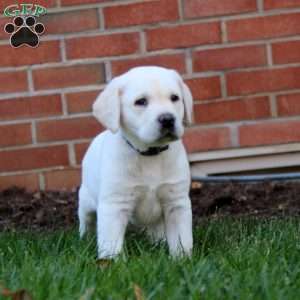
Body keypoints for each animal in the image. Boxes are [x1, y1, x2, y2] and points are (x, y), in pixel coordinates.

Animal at [78, 67, 193, 258]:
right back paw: (84, 239)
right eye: (141, 102)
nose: (168, 119)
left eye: (174, 98)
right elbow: (111, 243)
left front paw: (182, 259)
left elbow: (181, 238)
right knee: (86, 221)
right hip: (86, 201)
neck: (150, 154)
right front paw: (111, 263)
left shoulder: (176, 201)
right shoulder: (114, 205)